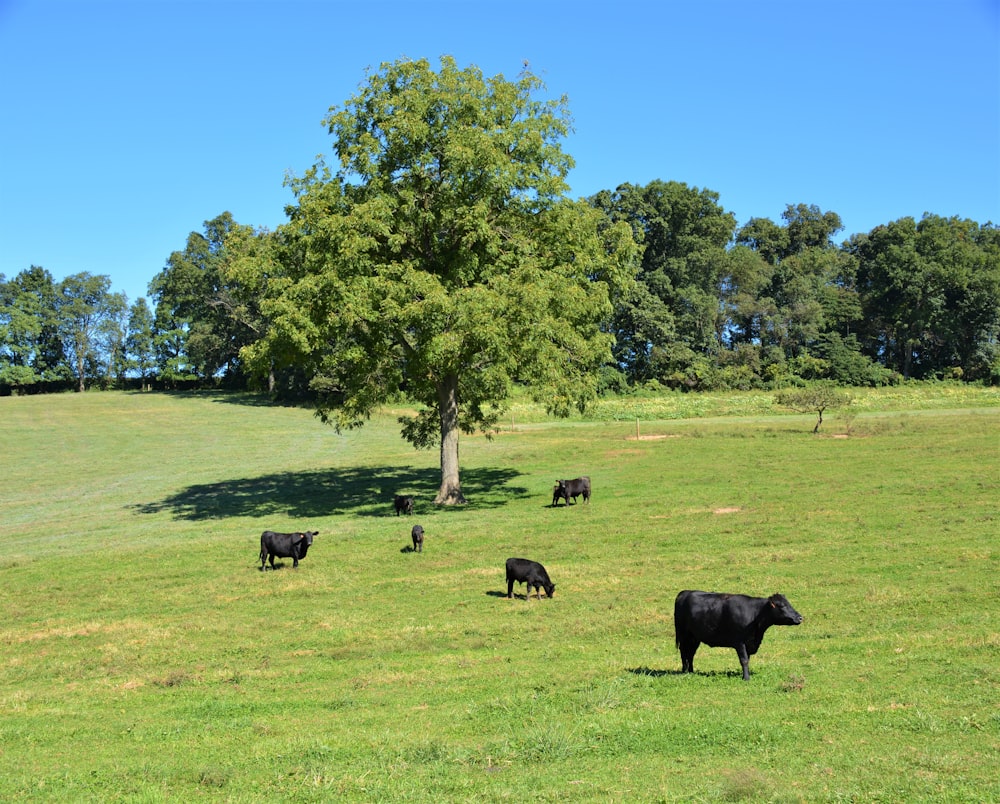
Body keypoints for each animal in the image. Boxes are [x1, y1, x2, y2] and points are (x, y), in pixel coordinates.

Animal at [672, 592, 804, 680]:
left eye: (789, 604)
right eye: (782, 606)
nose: (800, 617)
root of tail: (685, 593)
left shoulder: (750, 643)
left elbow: (747, 660)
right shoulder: (739, 642)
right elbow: (744, 660)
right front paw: (746, 678)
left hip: (694, 638)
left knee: (690, 653)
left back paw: (691, 671)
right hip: (684, 635)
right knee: (684, 652)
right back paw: (684, 671)